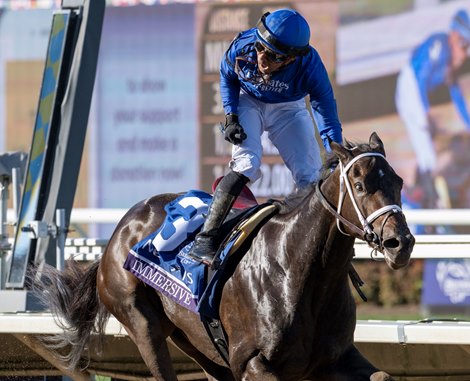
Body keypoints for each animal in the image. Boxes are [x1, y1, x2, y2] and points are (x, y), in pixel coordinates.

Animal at [34, 131, 414, 380]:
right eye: (360, 185)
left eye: (397, 181)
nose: (401, 243)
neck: (299, 271)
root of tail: (121, 230)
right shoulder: (251, 362)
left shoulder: (333, 360)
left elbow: (382, 376)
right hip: (141, 323)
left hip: (195, 342)